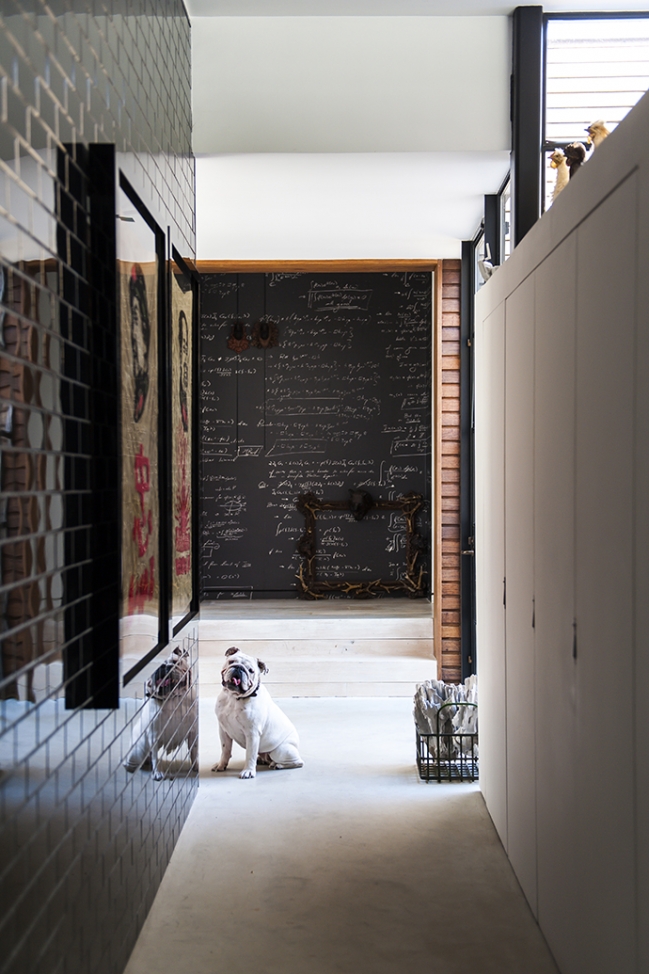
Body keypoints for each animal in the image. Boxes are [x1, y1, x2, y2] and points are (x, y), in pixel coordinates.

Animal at [123, 652, 196, 780]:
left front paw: (197, 767)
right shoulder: (155, 736)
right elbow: (156, 758)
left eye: (175, 662)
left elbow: (194, 752)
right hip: (138, 750)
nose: (162, 667)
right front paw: (157, 772)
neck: (172, 698)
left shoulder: (193, 731)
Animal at [213, 652, 304, 780]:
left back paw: (277, 765)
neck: (234, 698)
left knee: (298, 762)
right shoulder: (223, 731)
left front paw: (248, 771)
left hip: (280, 751)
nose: (239, 668)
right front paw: (221, 765)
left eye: (251, 671)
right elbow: (225, 750)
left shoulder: (252, 734)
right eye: (231, 662)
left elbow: (249, 755)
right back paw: (262, 760)